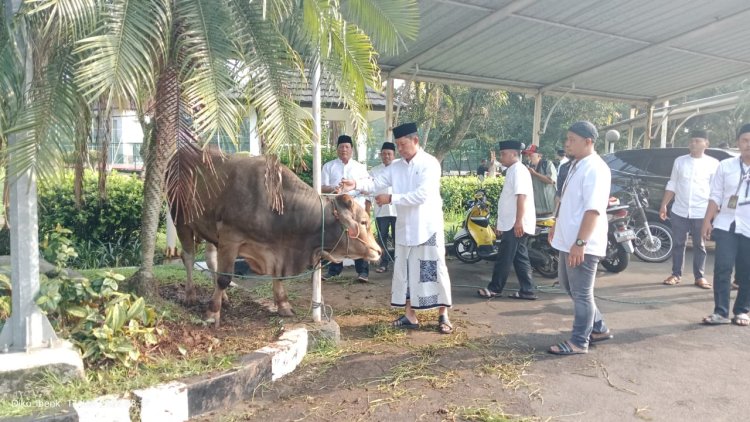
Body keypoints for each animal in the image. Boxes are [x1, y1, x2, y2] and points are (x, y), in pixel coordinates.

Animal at [170, 152, 382, 326]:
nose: (378, 251)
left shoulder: (276, 250)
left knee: (211, 261)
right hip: (181, 222)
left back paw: (225, 299)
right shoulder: (230, 238)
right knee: (188, 257)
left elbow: (277, 275)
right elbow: (224, 278)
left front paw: (283, 305)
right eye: (363, 222)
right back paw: (190, 295)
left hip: (210, 234)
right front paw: (212, 313)